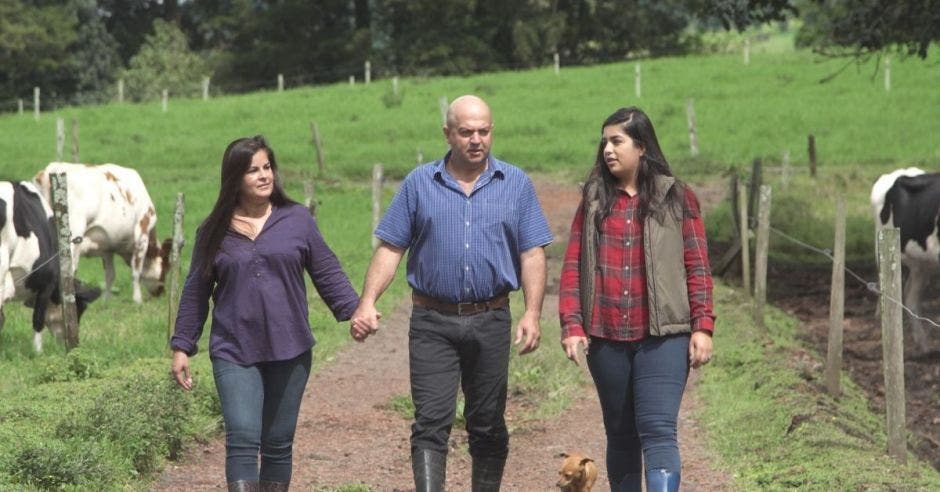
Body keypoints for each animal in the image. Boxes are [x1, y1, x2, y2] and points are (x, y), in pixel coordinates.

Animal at [32, 163, 171, 304]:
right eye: (166, 268)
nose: (162, 293)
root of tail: (52, 169)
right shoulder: (142, 234)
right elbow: (136, 271)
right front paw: (137, 300)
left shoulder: (107, 247)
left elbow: (110, 275)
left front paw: (106, 300)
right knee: (68, 269)